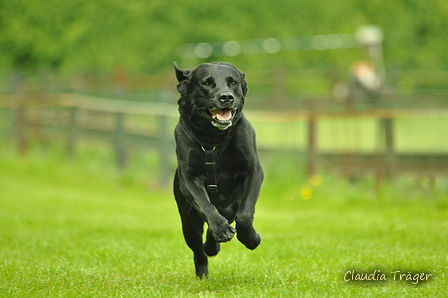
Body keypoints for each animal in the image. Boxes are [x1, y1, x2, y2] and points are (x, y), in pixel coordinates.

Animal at [172, 61, 262, 278]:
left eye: (233, 82)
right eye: (206, 83)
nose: (226, 97)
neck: (213, 140)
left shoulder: (253, 172)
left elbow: (245, 215)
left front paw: (252, 239)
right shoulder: (189, 179)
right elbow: (206, 205)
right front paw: (220, 229)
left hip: (229, 208)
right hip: (188, 224)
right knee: (198, 250)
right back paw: (204, 268)